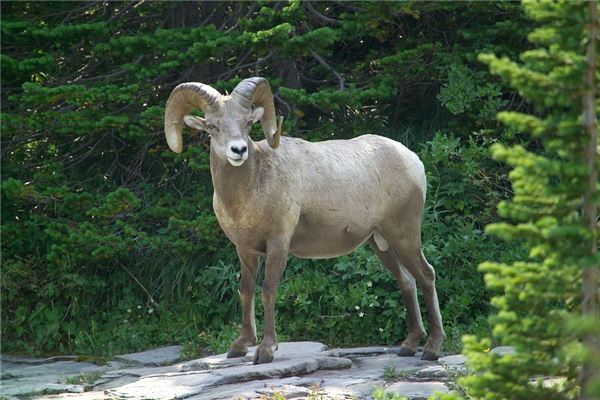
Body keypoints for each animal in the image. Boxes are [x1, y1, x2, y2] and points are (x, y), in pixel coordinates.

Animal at [164, 76, 446, 364]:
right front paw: (240, 347)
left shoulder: (278, 244)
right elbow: (246, 290)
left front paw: (266, 350)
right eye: (213, 126)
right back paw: (408, 345)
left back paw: (432, 348)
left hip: (404, 233)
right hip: (380, 242)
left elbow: (268, 290)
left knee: (426, 275)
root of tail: (413, 160)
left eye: (247, 123)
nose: (238, 150)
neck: (249, 190)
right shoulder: (245, 250)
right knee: (406, 280)